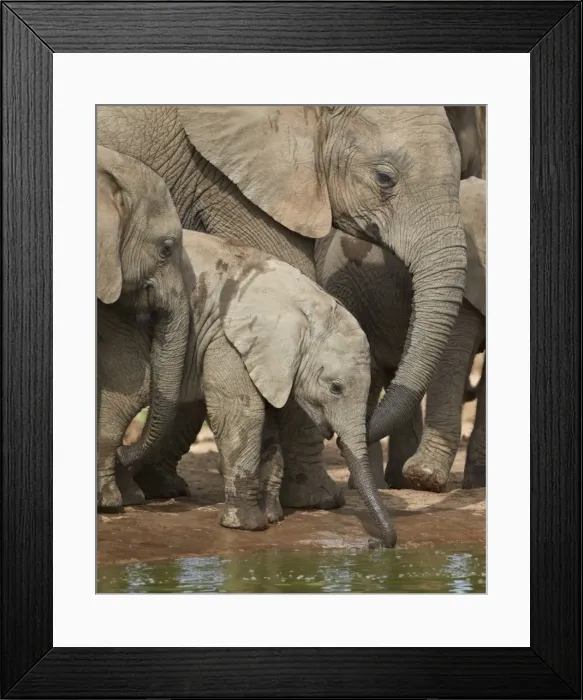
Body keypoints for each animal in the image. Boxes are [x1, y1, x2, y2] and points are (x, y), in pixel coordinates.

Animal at [111, 229, 397, 547]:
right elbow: (244, 414)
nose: (375, 544)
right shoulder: (226, 338)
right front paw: (248, 525)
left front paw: (272, 516)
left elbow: (268, 421)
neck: (306, 303)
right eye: (335, 388)